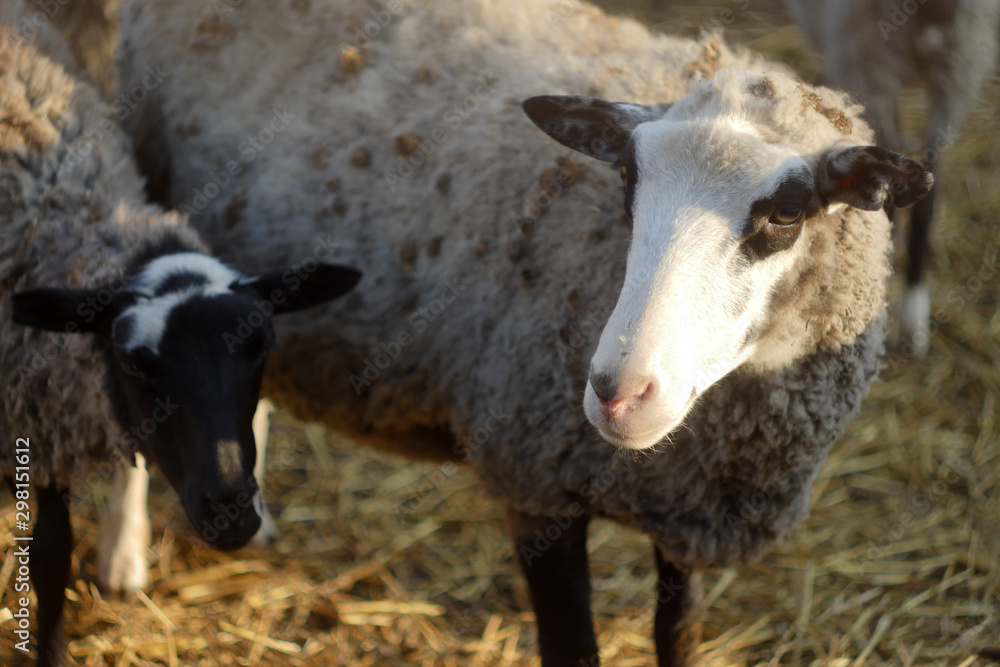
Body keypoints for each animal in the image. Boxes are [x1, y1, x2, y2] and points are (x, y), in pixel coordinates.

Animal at [0, 7, 361, 665]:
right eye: (136, 364)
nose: (234, 514)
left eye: (261, 348)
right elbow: (49, 559)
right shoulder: (39, 420)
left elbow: (50, 554)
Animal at [115, 0, 932, 663]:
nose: (618, 392)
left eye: (787, 212)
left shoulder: (685, 514)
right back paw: (122, 563)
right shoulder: (534, 477)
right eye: (628, 181)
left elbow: (680, 640)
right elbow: (574, 650)